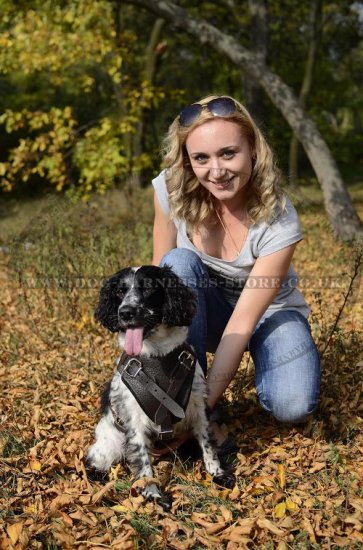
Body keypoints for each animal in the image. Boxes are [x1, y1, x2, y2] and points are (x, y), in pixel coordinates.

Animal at [88, 266, 236, 512]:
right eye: (120, 291)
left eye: (148, 287)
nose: (125, 312)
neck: (156, 356)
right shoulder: (134, 421)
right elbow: (143, 461)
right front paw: (153, 493)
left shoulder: (198, 406)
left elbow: (207, 444)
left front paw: (217, 472)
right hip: (109, 444)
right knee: (93, 461)